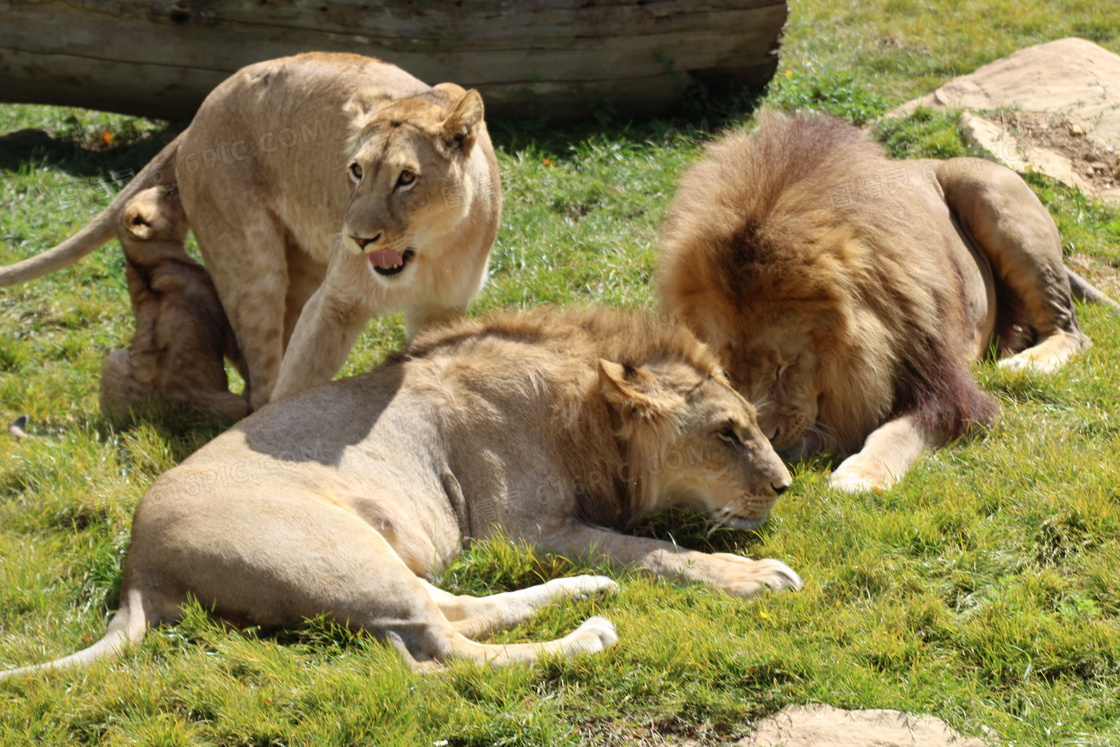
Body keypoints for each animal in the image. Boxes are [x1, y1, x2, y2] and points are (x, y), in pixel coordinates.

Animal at [2, 306, 806, 680]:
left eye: (751, 425)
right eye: (729, 432)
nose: (785, 485)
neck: (582, 412)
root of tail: (138, 566)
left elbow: (637, 546)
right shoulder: (521, 528)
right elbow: (653, 548)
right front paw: (756, 574)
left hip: (369, 556)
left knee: (453, 609)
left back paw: (581, 590)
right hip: (334, 551)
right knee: (442, 643)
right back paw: (589, 632)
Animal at [98, 184, 249, 423]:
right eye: (168, 193)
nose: (175, 184)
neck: (146, 265)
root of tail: (159, 413)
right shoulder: (220, 317)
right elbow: (238, 356)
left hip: (113, 360)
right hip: (230, 404)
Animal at [654, 110, 1102, 492]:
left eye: (785, 367)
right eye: (727, 373)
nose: (769, 437)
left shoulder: (945, 391)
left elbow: (895, 431)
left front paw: (860, 474)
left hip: (991, 197)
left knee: (1072, 330)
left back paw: (1028, 364)